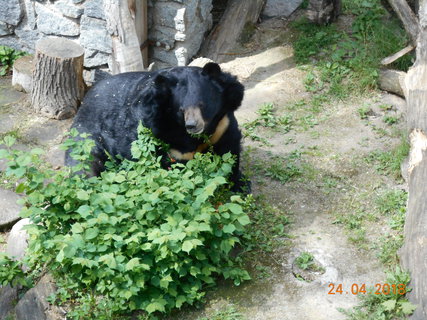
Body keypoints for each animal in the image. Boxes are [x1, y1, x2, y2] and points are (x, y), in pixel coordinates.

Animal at [65, 62, 249, 192]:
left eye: (202, 105)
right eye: (181, 109)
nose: (192, 125)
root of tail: (86, 99)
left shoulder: (223, 123)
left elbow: (229, 151)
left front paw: (239, 185)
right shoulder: (159, 130)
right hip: (87, 136)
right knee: (83, 165)